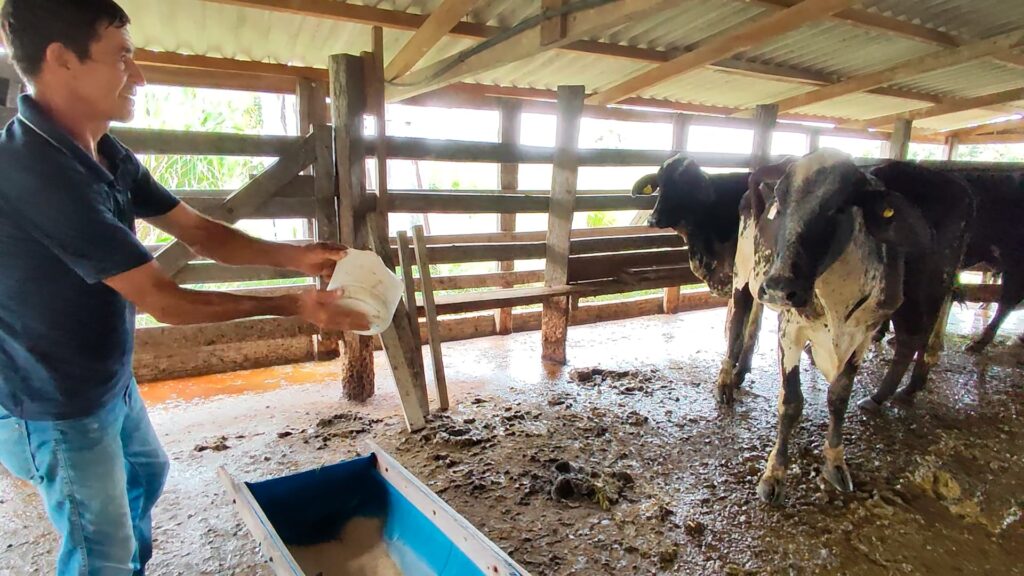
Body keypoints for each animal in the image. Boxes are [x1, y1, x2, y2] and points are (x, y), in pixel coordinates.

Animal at [741, 148, 970, 502]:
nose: (780, 287)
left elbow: (839, 396)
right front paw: (774, 474)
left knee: (912, 340)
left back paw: (889, 394)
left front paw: (835, 461)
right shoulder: (790, 328)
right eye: (780, 199)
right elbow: (790, 402)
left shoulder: (863, 333)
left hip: (927, 291)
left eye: (839, 206)